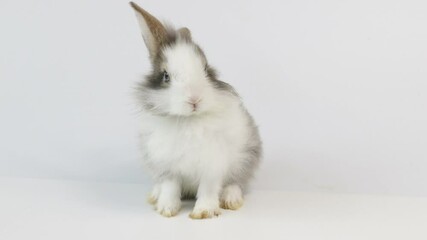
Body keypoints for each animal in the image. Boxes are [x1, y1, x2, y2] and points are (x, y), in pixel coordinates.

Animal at [130, 2, 262, 219]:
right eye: (166, 76)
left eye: (206, 69)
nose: (195, 100)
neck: (187, 120)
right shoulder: (167, 165)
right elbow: (170, 187)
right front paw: (166, 209)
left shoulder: (212, 164)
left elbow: (208, 189)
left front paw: (203, 212)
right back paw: (155, 196)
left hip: (246, 157)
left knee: (236, 181)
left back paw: (231, 199)